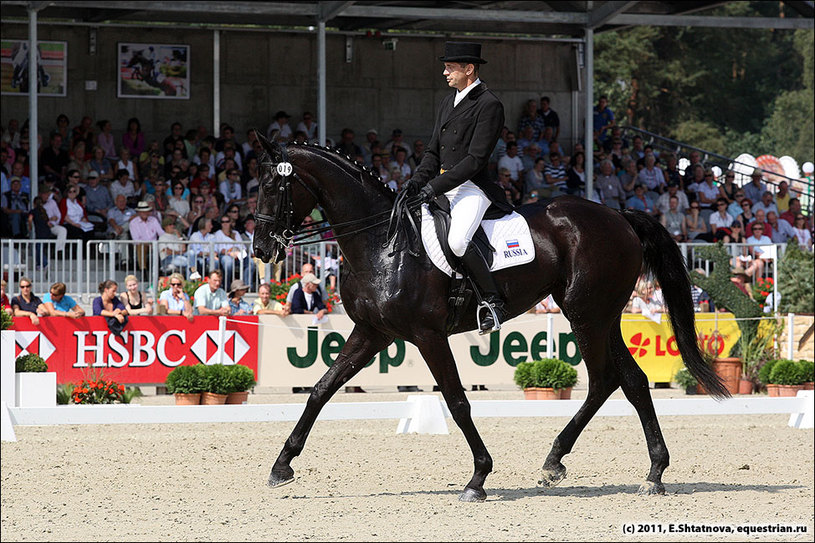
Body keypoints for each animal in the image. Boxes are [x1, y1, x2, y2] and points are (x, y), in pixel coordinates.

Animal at [253, 135, 728, 502]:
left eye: (274, 186)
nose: (261, 248)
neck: (382, 243)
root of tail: (618, 214)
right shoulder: (373, 332)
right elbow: (320, 390)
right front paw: (281, 467)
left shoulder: (427, 335)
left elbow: (457, 401)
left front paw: (478, 477)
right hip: (602, 316)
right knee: (628, 381)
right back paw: (641, 471)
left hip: (587, 314)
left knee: (605, 380)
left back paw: (582, 465)